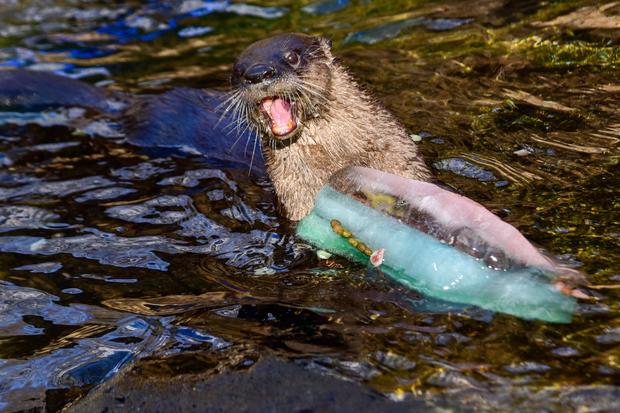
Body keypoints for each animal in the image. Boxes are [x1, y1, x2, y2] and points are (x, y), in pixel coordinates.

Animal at [0, 33, 432, 220]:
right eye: (238, 72)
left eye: (292, 56)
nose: (258, 73)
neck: (340, 157)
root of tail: (137, 103)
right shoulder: (295, 198)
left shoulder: (402, 159)